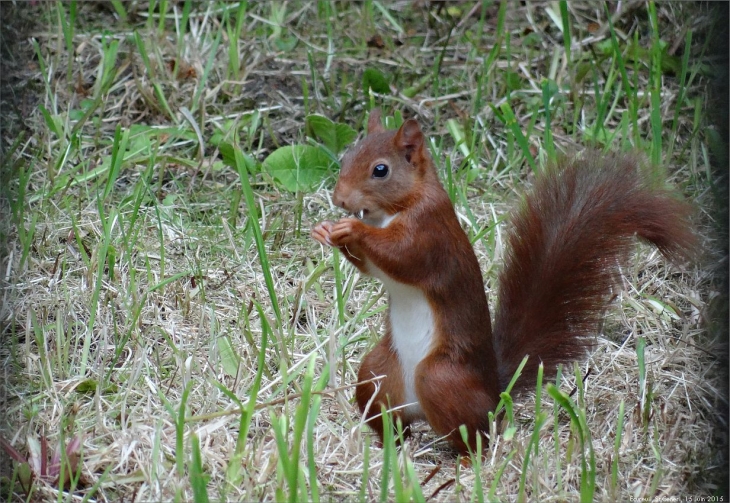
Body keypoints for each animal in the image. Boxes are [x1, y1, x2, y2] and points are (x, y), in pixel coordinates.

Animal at [308, 110, 692, 456]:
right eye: (347, 157)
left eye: (380, 170)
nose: (339, 199)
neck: (391, 211)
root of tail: (494, 389)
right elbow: (372, 267)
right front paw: (327, 230)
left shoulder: (429, 230)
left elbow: (402, 256)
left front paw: (352, 229)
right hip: (377, 374)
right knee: (392, 418)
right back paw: (385, 446)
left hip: (440, 377)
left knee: (476, 435)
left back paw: (463, 461)